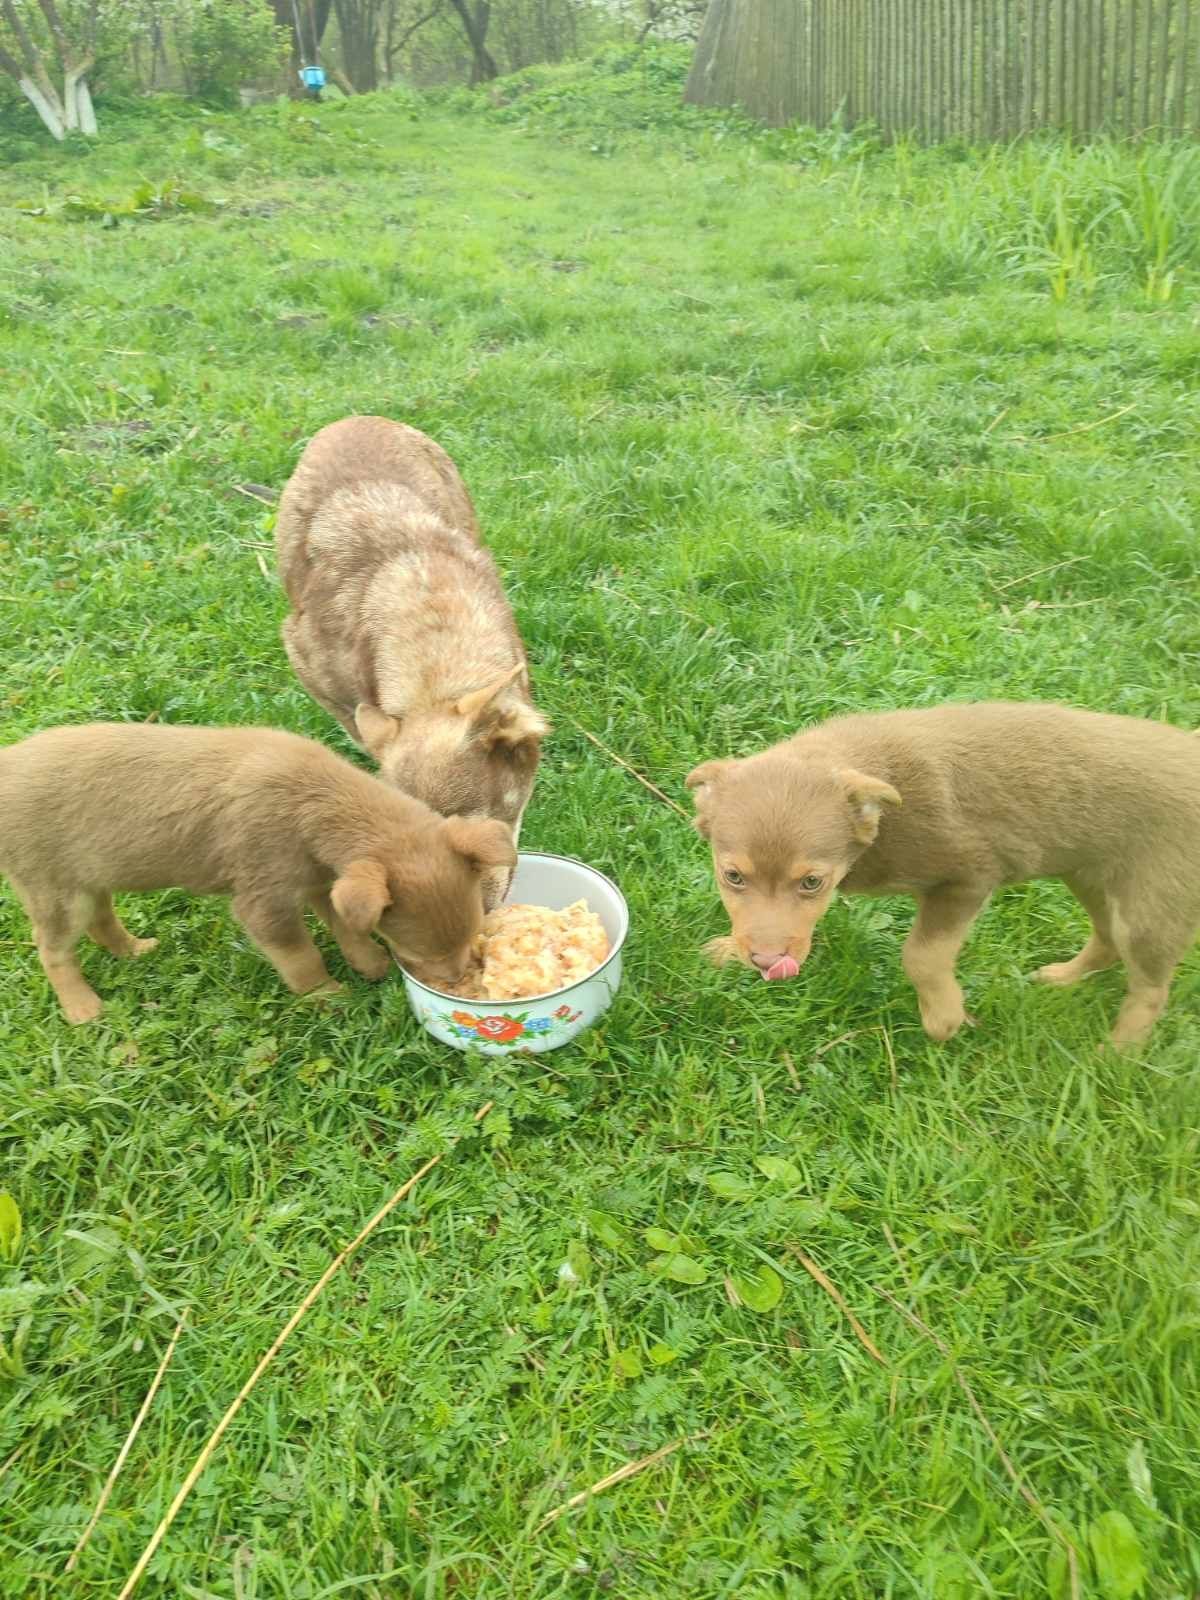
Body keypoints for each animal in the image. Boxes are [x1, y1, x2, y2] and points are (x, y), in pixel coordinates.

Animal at [0, 723, 515, 1024]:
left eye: (474, 934)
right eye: (423, 953)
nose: (460, 980)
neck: (316, 802)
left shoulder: (323, 881)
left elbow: (347, 929)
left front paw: (367, 963)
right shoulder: (264, 904)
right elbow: (302, 957)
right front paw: (326, 995)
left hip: (90, 878)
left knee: (102, 920)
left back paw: (133, 951)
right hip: (55, 891)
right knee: (53, 950)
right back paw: (82, 1007)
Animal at [691, 700, 1200, 1049]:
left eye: (812, 882)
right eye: (733, 877)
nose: (766, 962)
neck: (884, 817)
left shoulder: (968, 879)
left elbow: (922, 955)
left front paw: (944, 1018)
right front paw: (729, 949)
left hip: (1150, 907)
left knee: (1150, 989)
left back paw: (1116, 1055)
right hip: (1091, 874)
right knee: (1107, 939)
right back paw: (1061, 978)